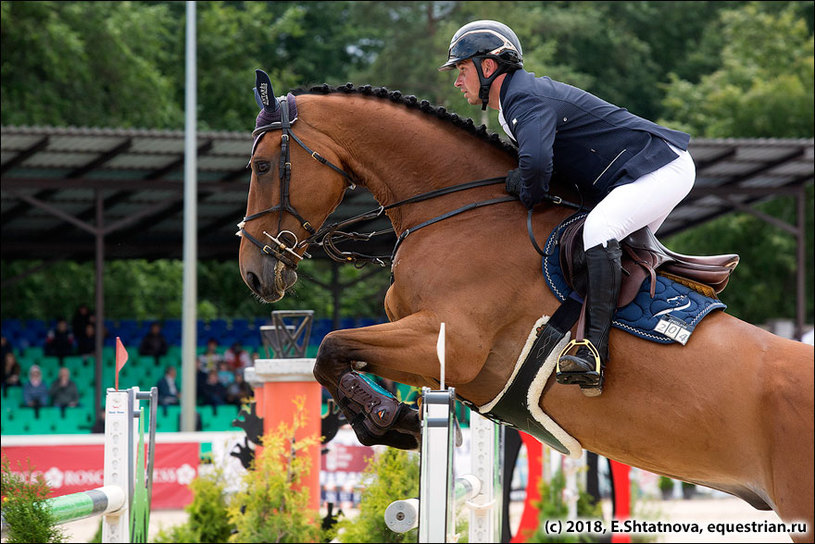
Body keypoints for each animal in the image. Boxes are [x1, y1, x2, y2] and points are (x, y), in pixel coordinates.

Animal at [237, 78, 815, 540]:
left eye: (262, 166)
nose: (254, 273)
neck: (458, 211)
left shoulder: (450, 344)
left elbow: (330, 346)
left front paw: (387, 418)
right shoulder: (432, 354)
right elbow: (334, 359)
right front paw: (390, 422)